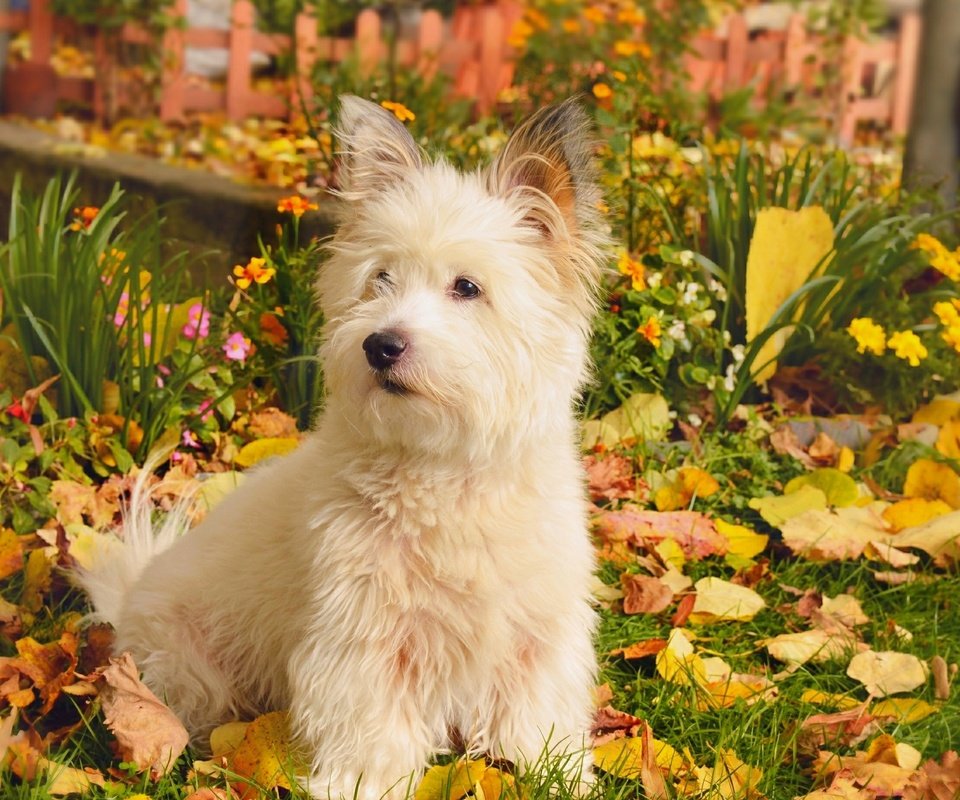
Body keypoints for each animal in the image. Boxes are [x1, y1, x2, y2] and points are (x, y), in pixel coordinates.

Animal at [80, 95, 608, 800]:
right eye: (379, 279)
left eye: (467, 287)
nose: (380, 345)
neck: (444, 468)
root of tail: (127, 601)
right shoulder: (361, 641)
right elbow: (372, 731)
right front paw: (359, 785)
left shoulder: (536, 633)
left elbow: (536, 716)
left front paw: (560, 775)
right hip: (190, 669)